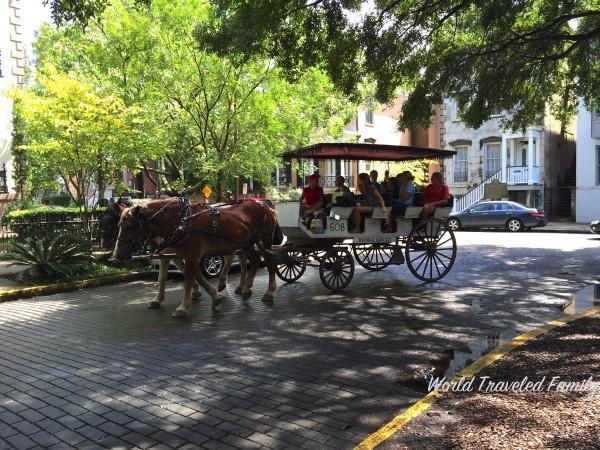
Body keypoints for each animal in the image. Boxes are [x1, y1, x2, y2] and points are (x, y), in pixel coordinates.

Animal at [112, 199, 276, 318]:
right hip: (245, 244)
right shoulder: (179, 255)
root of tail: (265, 206)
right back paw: (244, 288)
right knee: (252, 261)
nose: (117, 254)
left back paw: (268, 292)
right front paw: (214, 297)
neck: (181, 221)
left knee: (269, 263)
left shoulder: (189, 255)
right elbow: (170, 277)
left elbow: (188, 279)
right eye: (119, 224)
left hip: (265, 240)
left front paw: (183, 306)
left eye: (129, 226)